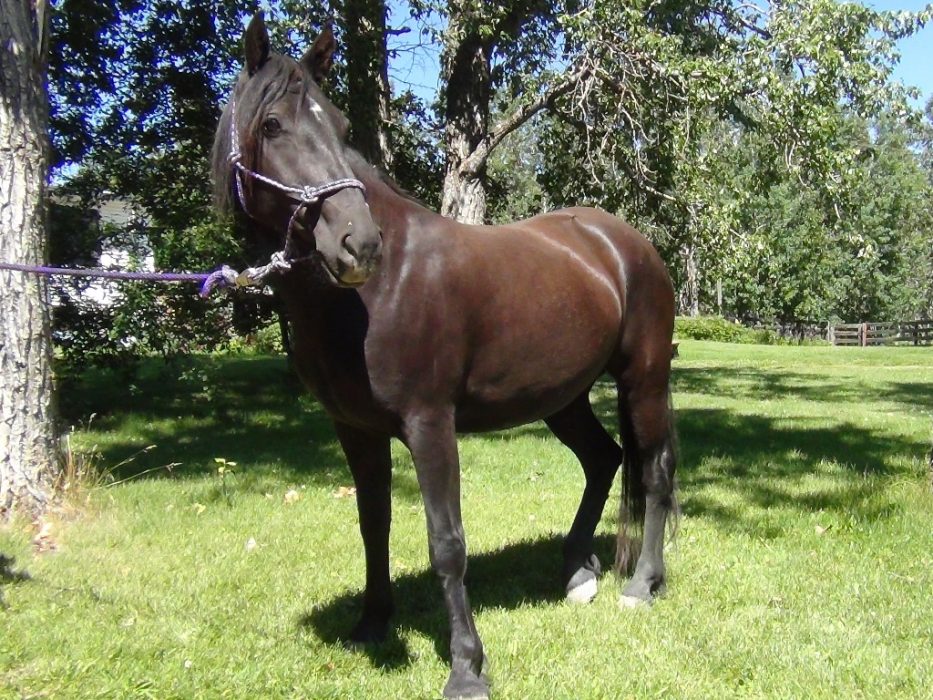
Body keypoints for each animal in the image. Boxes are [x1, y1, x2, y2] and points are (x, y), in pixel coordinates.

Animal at [211, 13, 678, 700]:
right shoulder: (354, 429)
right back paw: (576, 571)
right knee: (603, 459)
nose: (359, 243)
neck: (377, 292)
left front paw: (466, 666)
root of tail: (626, 243)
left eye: (341, 126)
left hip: (642, 379)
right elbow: (373, 523)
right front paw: (372, 624)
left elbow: (446, 542)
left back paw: (641, 583)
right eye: (271, 125)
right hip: (560, 398)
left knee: (651, 471)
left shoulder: (430, 424)